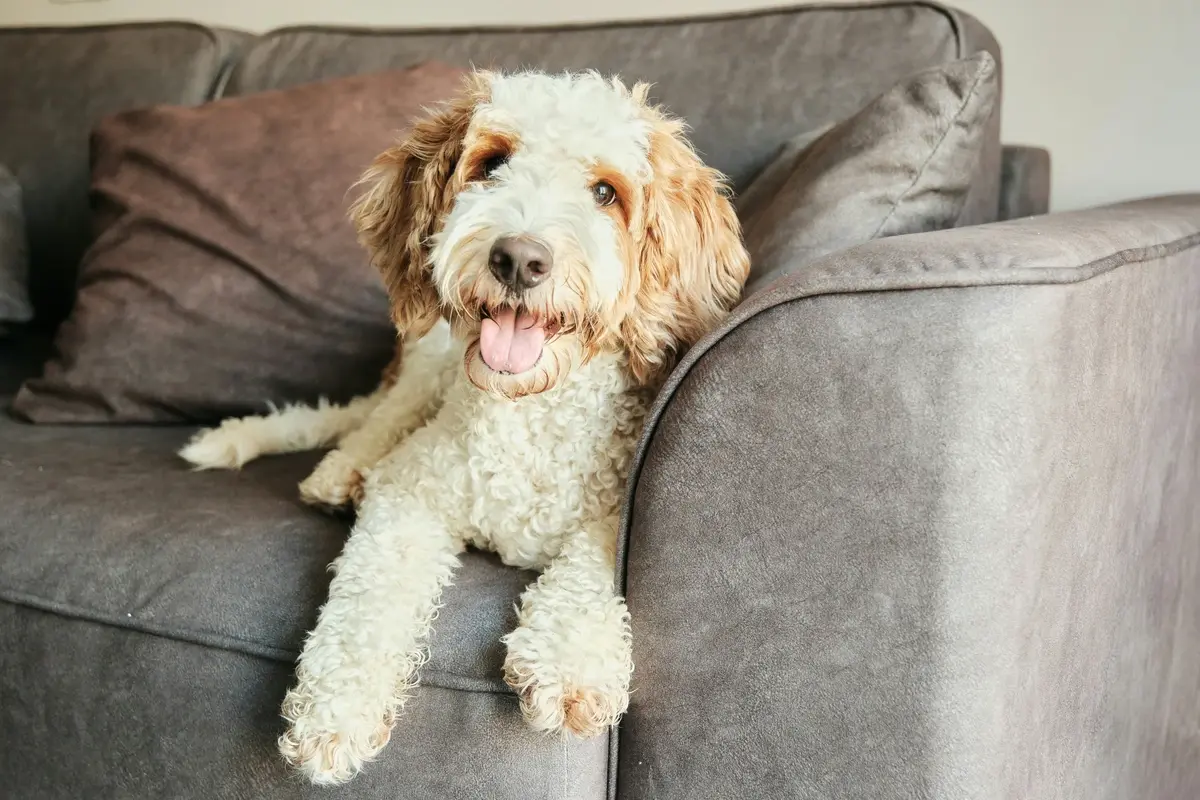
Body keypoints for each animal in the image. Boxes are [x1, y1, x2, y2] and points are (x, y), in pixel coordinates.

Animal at [177, 68, 744, 782]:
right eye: (491, 163)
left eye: (606, 192)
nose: (519, 259)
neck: (526, 412)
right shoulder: (411, 488)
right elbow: (370, 591)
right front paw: (336, 711)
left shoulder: (617, 505)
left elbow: (594, 562)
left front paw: (569, 661)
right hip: (426, 362)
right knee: (372, 422)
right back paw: (340, 475)